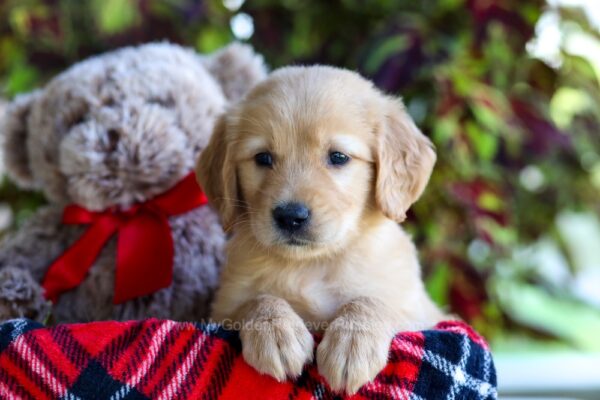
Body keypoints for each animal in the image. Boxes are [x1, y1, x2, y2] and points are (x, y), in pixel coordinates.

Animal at [197, 65, 446, 394]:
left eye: (338, 157)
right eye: (263, 158)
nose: (290, 216)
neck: (313, 264)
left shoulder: (427, 315)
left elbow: (373, 300)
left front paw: (352, 342)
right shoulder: (222, 308)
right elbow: (256, 300)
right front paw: (276, 330)